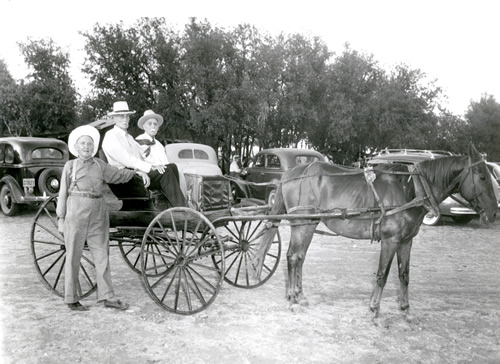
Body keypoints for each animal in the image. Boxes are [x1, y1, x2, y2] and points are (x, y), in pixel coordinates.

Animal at [256, 144, 498, 320]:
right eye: (482, 176)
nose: (494, 212)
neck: (411, 189)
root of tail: (293, 172)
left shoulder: (406, 241)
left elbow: (404, 275)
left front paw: (405, 308)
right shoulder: (390, 241)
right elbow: (382, 275)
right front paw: (374, 308)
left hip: (308, 224)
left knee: (299, 258)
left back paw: (298, 295)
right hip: (302, 224)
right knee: (293, 257)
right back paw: (292, 299)